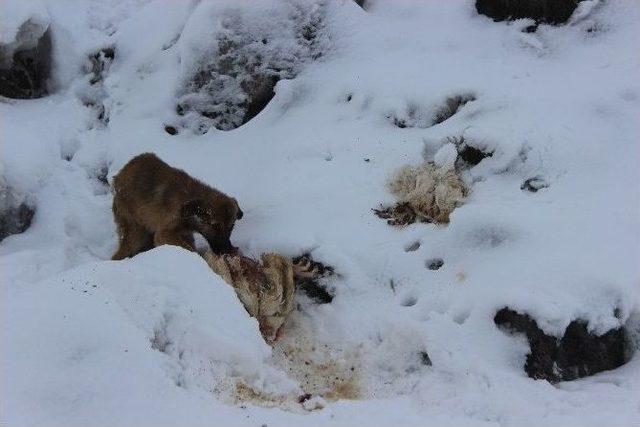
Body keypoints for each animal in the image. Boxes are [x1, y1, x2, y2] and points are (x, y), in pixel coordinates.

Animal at [111, 154, 241, 260]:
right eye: (216, 226)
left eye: (231, 226)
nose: (227, 250)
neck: (187, 206)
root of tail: (118, 177)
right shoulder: (165, 233)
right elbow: (189, 249)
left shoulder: (184, 234)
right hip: (134, 233)